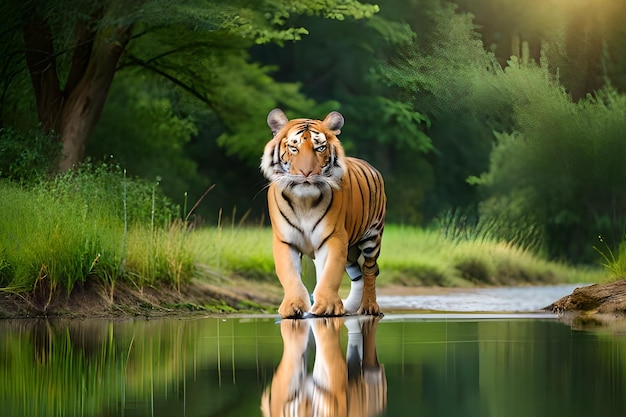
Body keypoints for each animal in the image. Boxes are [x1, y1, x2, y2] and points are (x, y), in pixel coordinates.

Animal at [258, 108, 386, 318]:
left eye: (320, 148)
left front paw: (327, 307)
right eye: (294, 148)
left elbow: (330, 273)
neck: (304, 202)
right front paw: (293, 307)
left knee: (369, 270)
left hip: (372, 237)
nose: (306, 173)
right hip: (350, 251)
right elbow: (289, 273)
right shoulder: (285, 240)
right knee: (357, 273)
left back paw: (368, 307)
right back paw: (350, 307)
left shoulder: (333, 237)